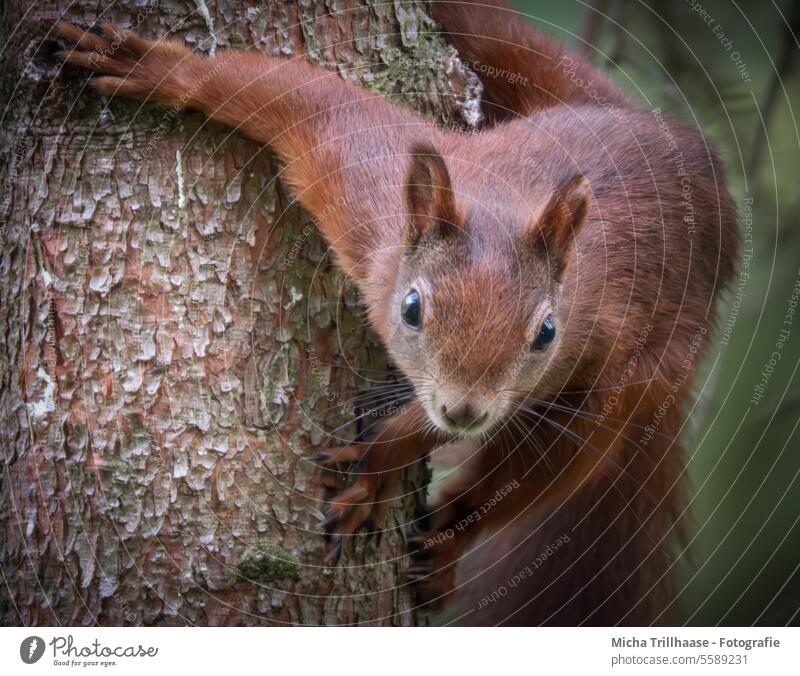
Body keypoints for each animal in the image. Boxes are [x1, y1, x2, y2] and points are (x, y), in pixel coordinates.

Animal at [57, 0, 736, 624]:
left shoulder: (574, 357)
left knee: (542, 472)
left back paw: (443, 534)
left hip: (645, 374)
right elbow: (295, 98)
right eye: (411, 308)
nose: (464, 409)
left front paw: (385, 455)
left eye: (547, 332)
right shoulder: (359, 177)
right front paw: (155, 67)